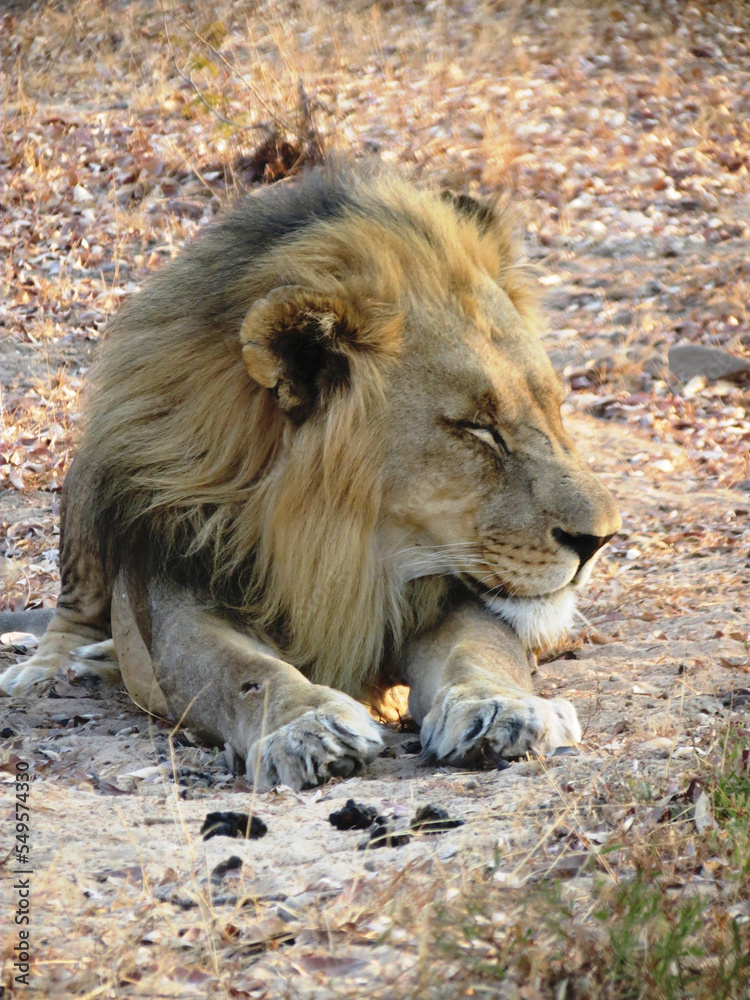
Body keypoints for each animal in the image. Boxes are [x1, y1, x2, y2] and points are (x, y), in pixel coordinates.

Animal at [0, 164, 620, 789]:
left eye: (555, 409)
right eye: (477, 428)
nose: (600, 540)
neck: (342, 551)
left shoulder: (451, 594)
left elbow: (479, 652)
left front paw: (503, 710)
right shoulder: (177, 589)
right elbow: (241, 670)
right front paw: (307, 728)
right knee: (74, 613)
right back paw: (56, 670)